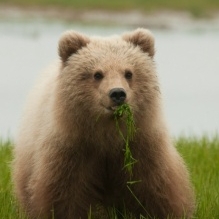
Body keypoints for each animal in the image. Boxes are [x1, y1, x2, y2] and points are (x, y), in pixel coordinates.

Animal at [12, 29, 195, 219]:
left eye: (128, 73)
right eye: (97, 74)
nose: (117, 93)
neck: (107, 134)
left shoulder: (140, 145)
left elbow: (155, 187)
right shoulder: (72, 149)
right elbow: (64, 194)